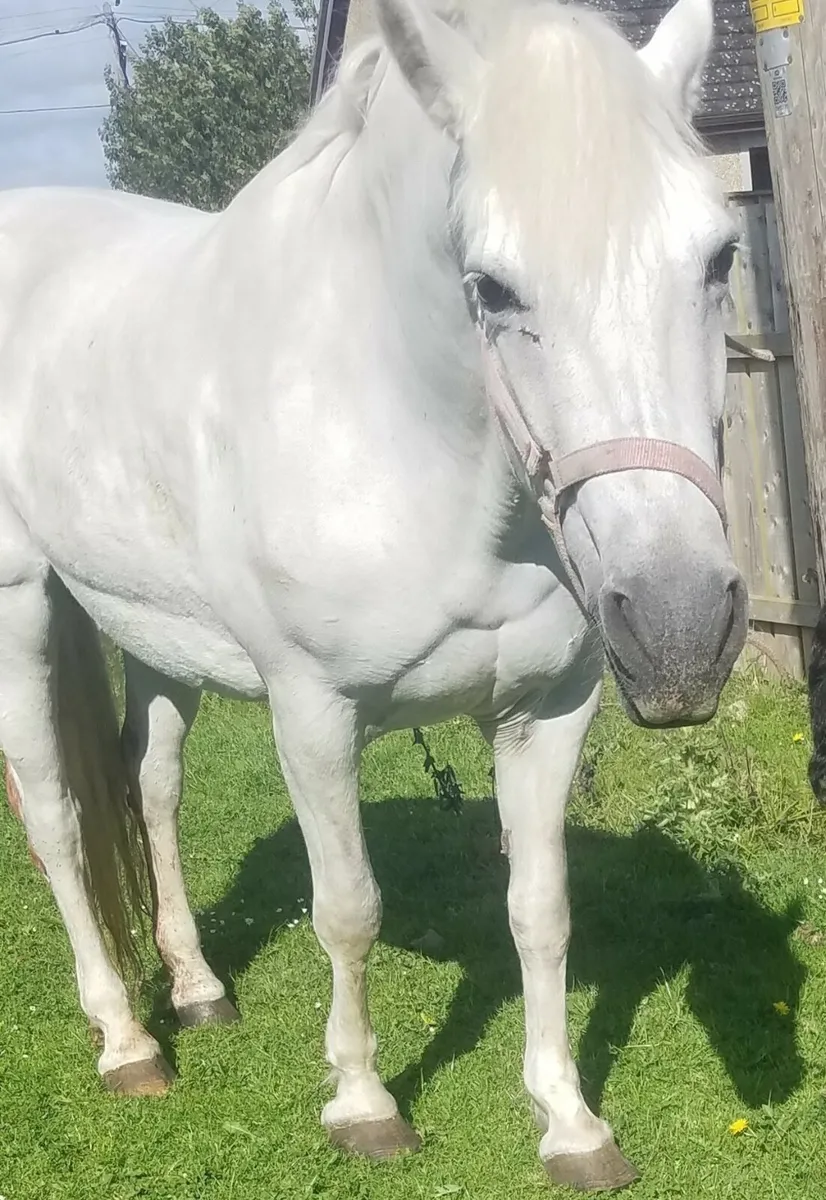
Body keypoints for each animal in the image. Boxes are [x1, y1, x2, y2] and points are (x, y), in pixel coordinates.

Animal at [0, 0, 746, 1189]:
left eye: (719, 255)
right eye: (491, 287)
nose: (680, 628)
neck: (399, 424)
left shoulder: (547, 712)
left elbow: (541, 909)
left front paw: (570, 1120)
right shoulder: (314, 713)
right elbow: (347, 910)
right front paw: (362, 1103)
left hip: (158, 637)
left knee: (151, 788)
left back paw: (198, 992)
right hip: (23, 602)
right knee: (59, 816)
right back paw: (125, 1040)